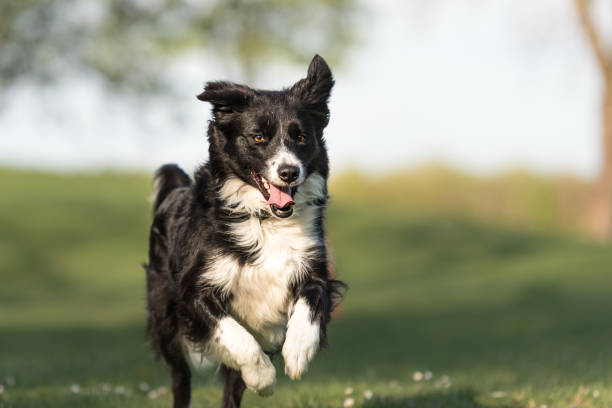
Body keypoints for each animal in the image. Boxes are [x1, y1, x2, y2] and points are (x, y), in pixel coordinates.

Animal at [144, 55, 344, 408]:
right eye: (258, 137)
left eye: (302, 137)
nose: (289, 171)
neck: (265, 219)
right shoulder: (194, 291)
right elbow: (237, 338)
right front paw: (263, 378)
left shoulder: (313, 268)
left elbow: (310, 304)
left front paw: (298, 352)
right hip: (165, 317)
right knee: (181, 377)